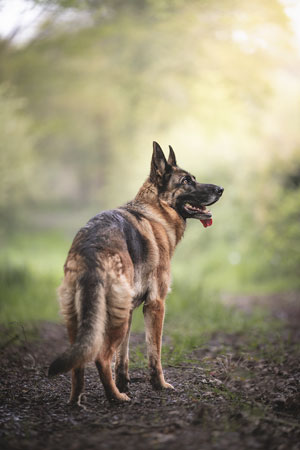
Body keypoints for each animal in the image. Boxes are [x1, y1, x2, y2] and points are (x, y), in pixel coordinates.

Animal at [48, 143, 223, 404]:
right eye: (186, 181)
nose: (220, 189)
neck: (157, 210)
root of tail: (91, 248)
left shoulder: (129, 309)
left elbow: (124, 356)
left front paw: (124, 383)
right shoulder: (156, 304)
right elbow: (154, 353)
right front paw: (159, 385)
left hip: (86, 320)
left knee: (79, 361)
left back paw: (77, 400)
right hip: (112, 320)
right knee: (101, 357)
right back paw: (115, 398)